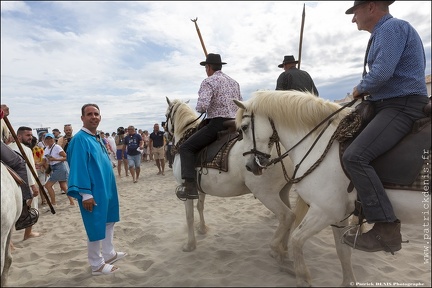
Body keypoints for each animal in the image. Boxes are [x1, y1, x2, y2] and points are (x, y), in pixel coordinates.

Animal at [165, 97, 296, 264]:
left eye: (166, 115)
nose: (166, 134)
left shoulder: (186, 188)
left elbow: (189, 217)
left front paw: (190, 244)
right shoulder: (198, 188)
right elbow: (200, 207)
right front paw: (202, 229)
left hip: (266, 194)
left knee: (287, 216)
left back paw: (276, 249)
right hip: (283, 190)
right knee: (292, 216)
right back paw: (284, 249)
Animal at [235, 90, 426, 286]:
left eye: (244, 128)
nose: (249, 166)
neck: (320, 146)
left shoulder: (324, 211)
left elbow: (296, 240)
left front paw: (302, 278)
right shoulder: (340, 215)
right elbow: (343, 252)